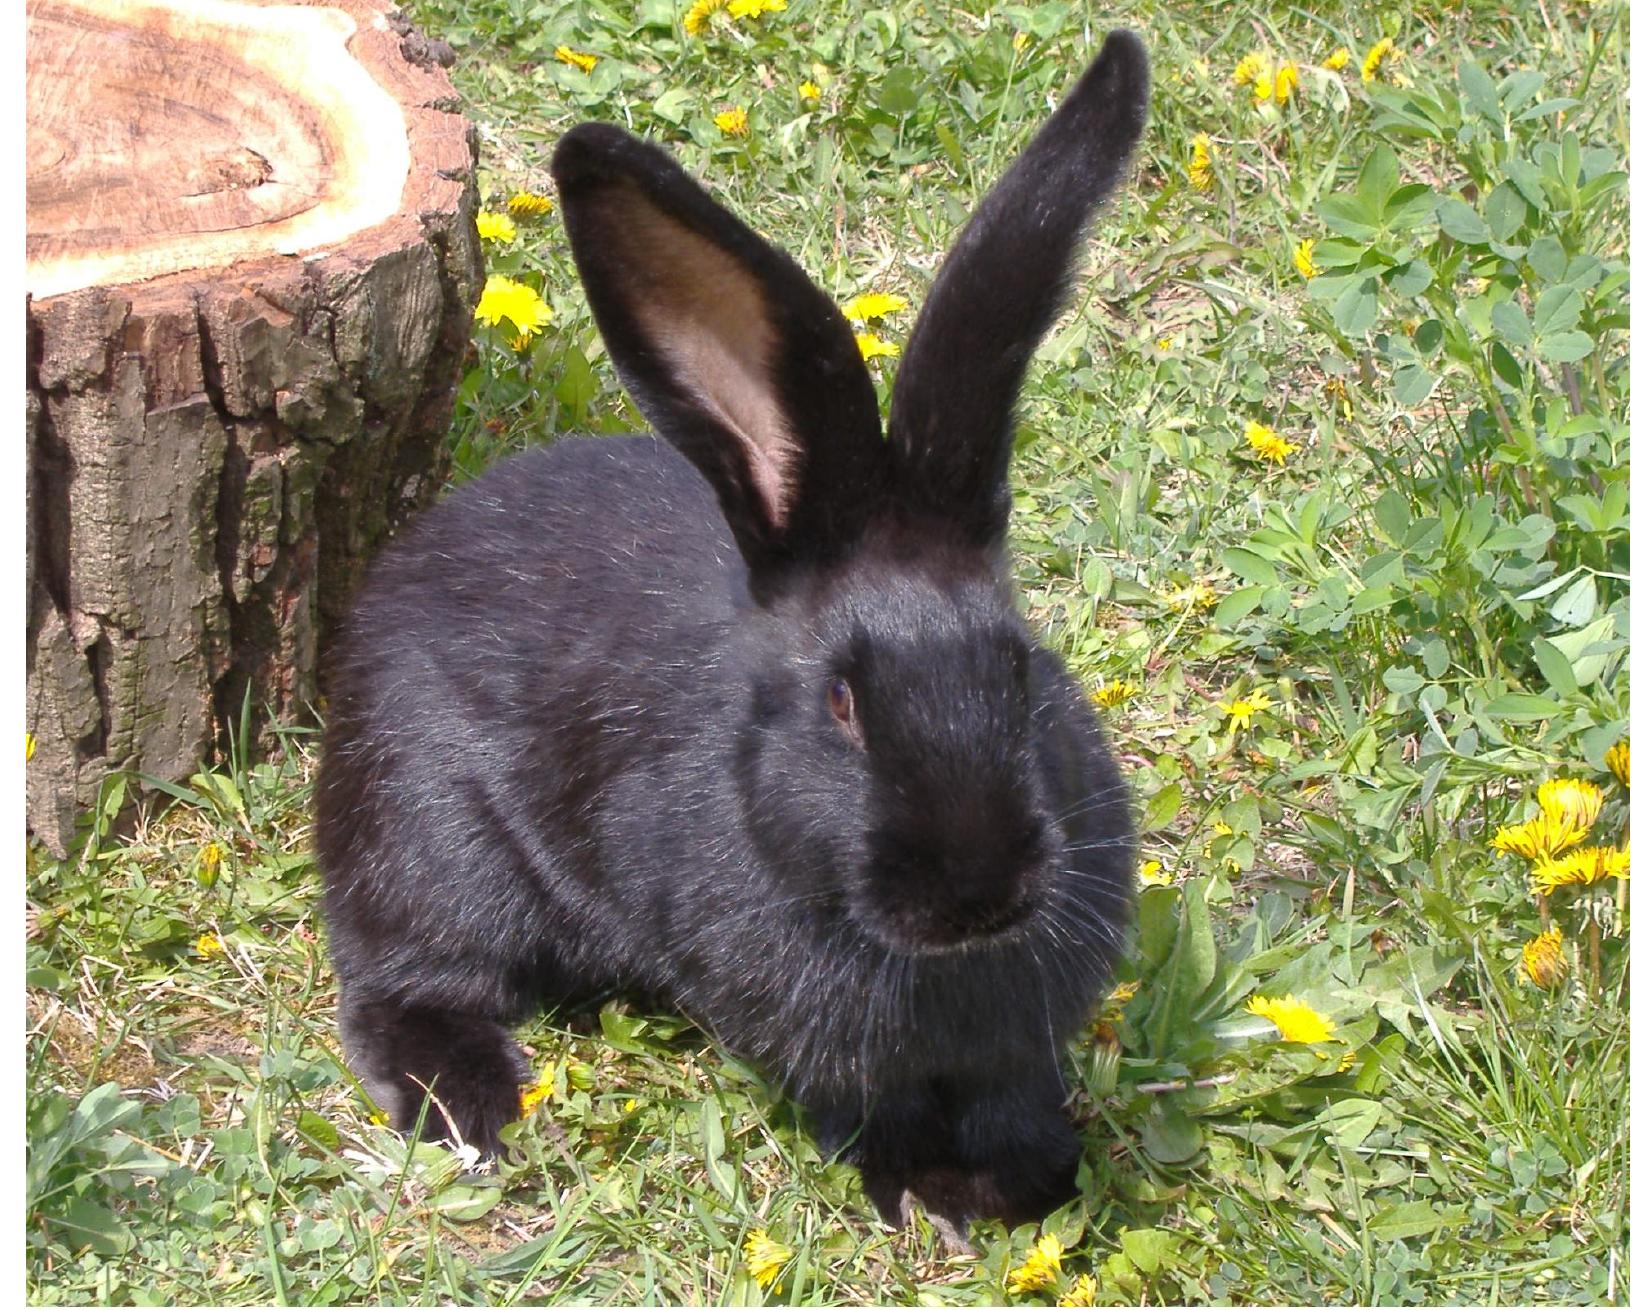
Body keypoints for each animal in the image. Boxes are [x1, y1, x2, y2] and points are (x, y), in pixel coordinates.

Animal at [316, 29, 1148, 1233]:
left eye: (1022, 671)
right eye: (843, 704)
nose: (979, 894)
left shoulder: (1014, 1044)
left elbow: (1013, 1093)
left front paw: (1028, 1179)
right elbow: (873, 1107)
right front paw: (933, 1191)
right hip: (425, 833)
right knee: (403, 980)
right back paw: (476, 1107)